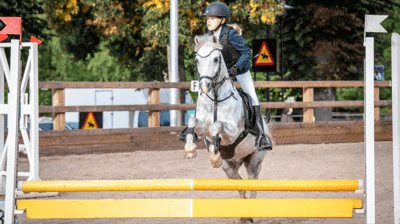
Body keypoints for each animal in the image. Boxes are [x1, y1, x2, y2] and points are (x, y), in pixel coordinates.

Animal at [184, 34, 272, 223]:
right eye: (197, 60)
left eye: (216, 59)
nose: (204, 87)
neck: (215, 98)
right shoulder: (202, 128)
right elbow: (193, 121)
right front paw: (190, 149)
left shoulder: (232, 132)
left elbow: (217, 125)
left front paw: (213, 153)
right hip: (229, 166)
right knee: (239, 183)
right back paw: (244, 216)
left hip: (254, 160)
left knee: (252, 186)